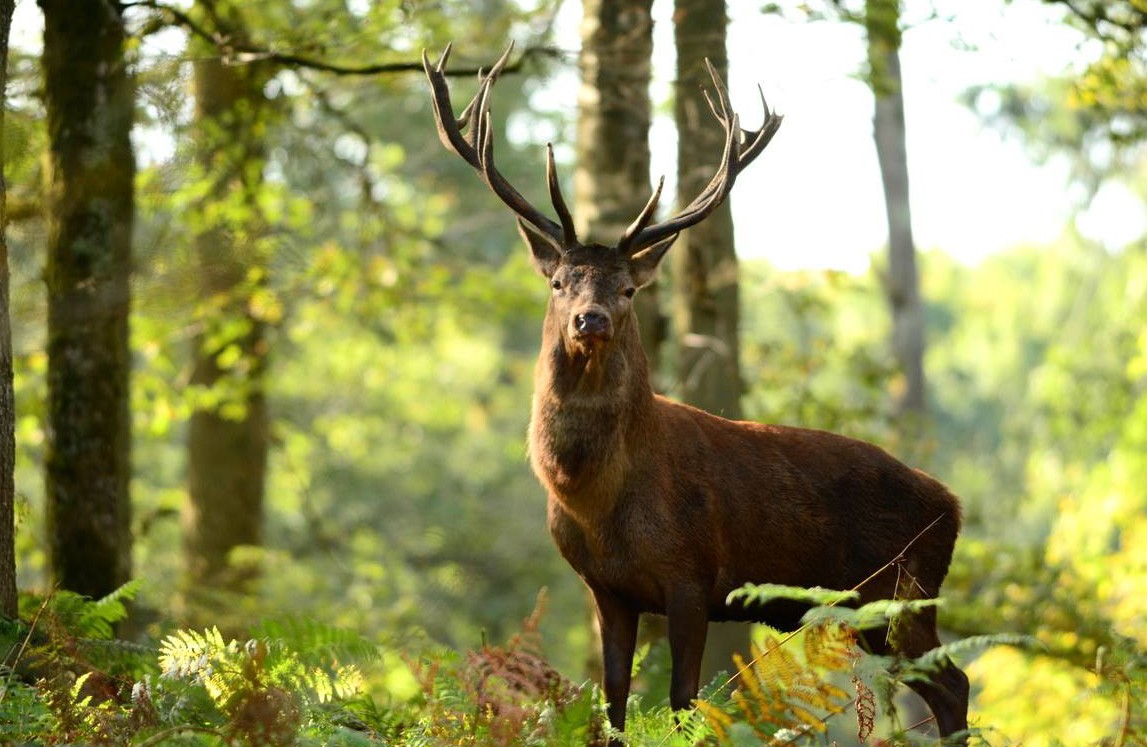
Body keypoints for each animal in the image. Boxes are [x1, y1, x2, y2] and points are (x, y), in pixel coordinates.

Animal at [424, 42, 970, 744]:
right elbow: (615, 702)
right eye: (559, 283)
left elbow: (684, 701)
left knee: (954, 683)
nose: (590, 320)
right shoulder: (608, 591)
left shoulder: (692, 575)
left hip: (901, 592)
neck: (593, 500)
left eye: (628, 288)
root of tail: (954, 506)